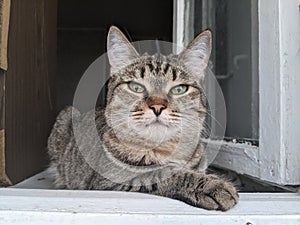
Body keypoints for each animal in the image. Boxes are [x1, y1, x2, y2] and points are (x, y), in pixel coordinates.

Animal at [47, 25, 239, 211]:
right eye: (136, 87)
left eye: (179, 89)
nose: (157, 107)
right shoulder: (110, 181)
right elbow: (159, 173)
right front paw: (212, 185)